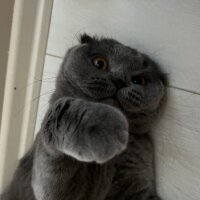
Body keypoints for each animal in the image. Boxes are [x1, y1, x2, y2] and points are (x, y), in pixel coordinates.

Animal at [0, 33, 167, 199]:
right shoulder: (58, 190)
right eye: (100, 63)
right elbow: (61, 108)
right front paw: (103, 128)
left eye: (139, 80)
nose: (119, 80)